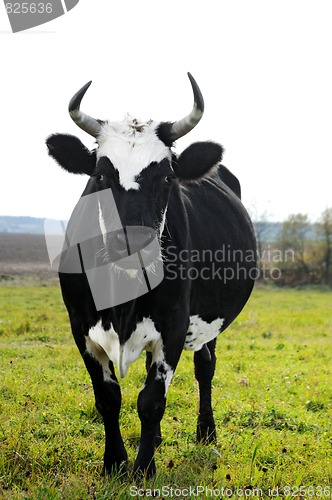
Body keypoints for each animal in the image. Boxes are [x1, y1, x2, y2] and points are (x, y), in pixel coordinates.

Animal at [45, 74, 255, 476]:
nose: (131, 242)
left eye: (167, 177)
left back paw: (206, 433)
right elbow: (108, 397)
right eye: (100, 175)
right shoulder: (80, 326)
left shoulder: (174, 325)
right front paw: (115, 462)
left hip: (207, 322)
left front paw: (144, 469)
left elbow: (151, 400)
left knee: (205, 367)